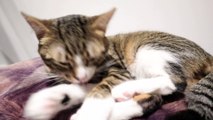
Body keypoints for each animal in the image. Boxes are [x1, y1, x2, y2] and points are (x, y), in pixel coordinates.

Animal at [22, 8, 212, 120]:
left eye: (92, 56)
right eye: (63, 62)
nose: (81, 76)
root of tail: (207, 54)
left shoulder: (118, 68)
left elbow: (102, 86)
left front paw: (90, 111)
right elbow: (88, 86)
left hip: (148, 49)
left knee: (173, 81)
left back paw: (123, 90)